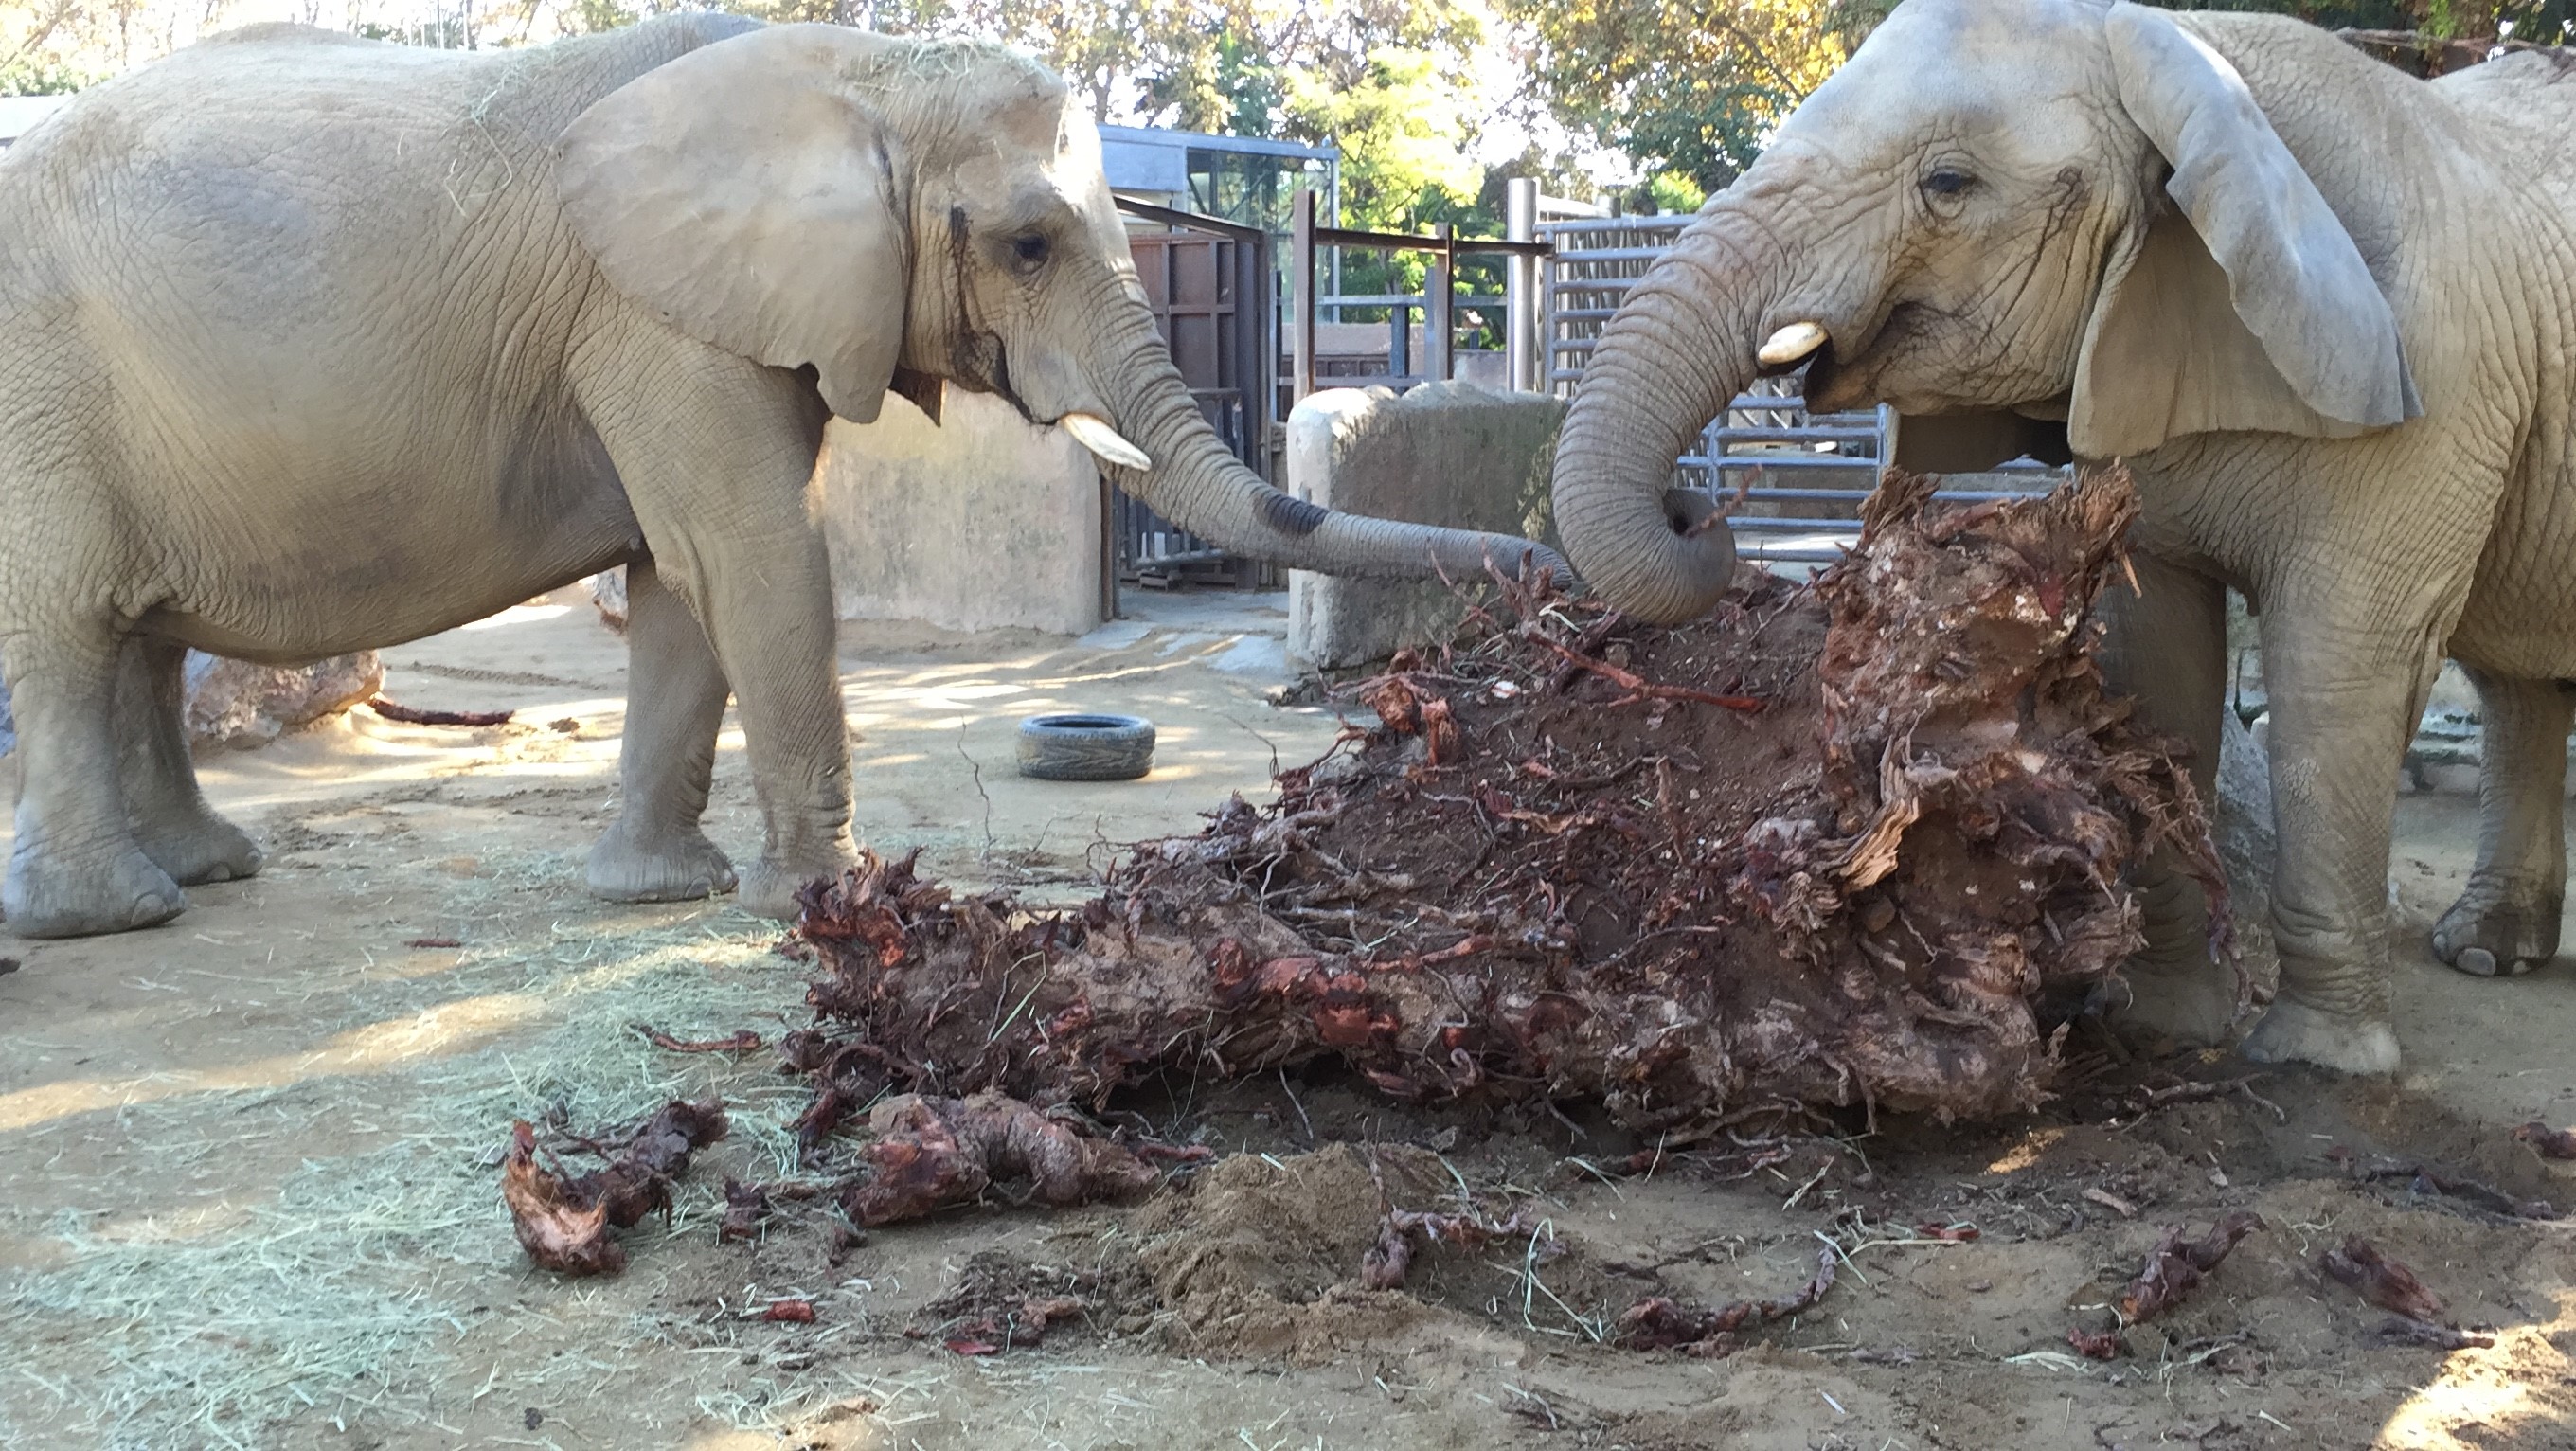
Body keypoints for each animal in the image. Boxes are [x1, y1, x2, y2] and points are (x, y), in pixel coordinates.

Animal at [0, 13, 1555, 942]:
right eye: (1030, 245)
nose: (1560, 576)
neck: (864, 65)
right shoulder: (654, 316)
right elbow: (747, 553)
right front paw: (841, 901)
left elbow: (680, 579)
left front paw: (664, 893)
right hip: (41, 390)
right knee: (70, 628)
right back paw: (113, 916)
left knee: (133, 633)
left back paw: (203, 874)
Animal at [1535, 0, 2576, 1077]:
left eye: (1948, 184)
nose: (1697, 511)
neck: (2199, 53)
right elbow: (2158, 657)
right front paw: (2157, 1024)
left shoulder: (2435, 391)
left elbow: (2340, 668)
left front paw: (2310, 1063)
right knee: (2519, 688)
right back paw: (2483, 953)